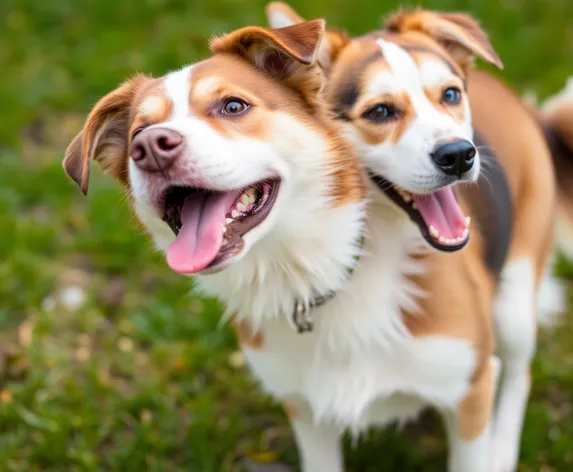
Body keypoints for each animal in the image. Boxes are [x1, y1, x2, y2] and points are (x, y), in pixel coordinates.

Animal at [262, 3, 572, 472]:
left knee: (519, 373)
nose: (459, 155)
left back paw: (502, 447)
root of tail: (526, 110)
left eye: (450, 95)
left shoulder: (470, 391)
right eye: (379, 112)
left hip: (515, 300)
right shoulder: (308, 411)